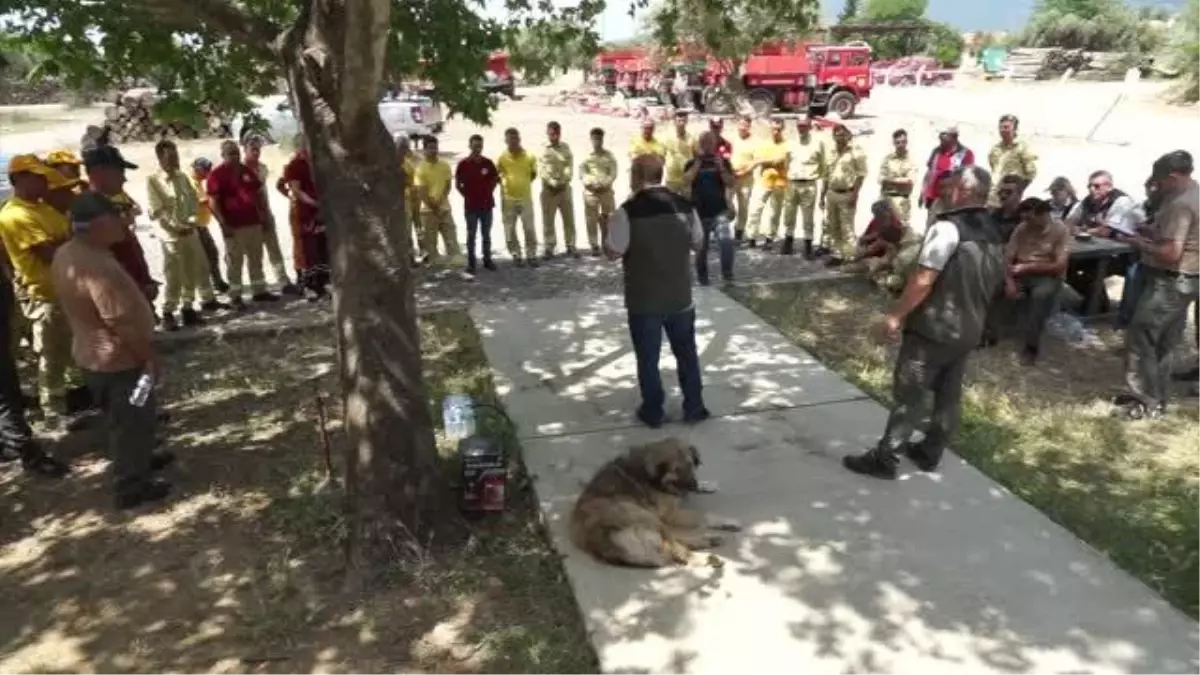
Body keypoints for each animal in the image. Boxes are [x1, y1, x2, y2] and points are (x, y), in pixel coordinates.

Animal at [564, 432, 739, 564]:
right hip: (647, 516)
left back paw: (711, 540)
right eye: (676, 469)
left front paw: (707, 484)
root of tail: (601, 542)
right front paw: (728, 520)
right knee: (680, 553)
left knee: (677, 542)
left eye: (690, 464)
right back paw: (707, 559)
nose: (693, 486)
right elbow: (703, 515)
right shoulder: (670, 515)